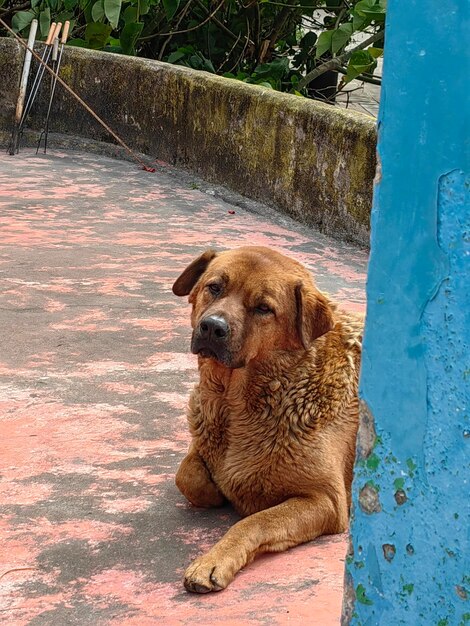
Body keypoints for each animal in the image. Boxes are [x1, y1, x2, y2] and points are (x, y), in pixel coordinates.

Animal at [171, 244, 362, 588]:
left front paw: (215, 559)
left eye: (263, 308)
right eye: (214, 287)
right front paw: (216, 490)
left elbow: (254, 522)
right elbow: (187, 476)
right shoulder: (201, 439)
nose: (212, 327)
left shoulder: (325, 499)